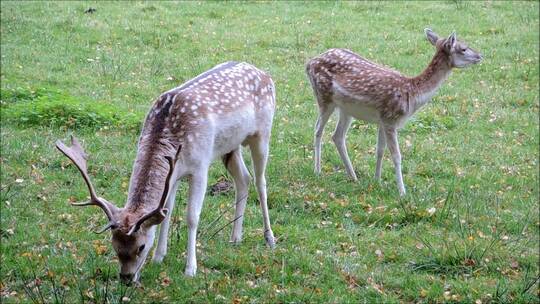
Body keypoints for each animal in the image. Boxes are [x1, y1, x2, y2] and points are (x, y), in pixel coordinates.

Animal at [57, 60, 276, 284]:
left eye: (141, 246)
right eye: (114, 246)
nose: (126, 277)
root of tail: (264, 73)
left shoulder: (200, 166)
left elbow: (192, 217)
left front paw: (190, 269)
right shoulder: (174, 173)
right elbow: (167, 211)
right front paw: (159, 257)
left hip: (262, 133)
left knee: (260, 182)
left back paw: (269, 238)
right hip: (230, 146)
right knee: (244, 179)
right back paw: (235, 238)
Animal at [306, 28, 484, 195]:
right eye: (463, 48)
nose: (480, 55)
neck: (412, 94)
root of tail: (309, 63)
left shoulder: (382, 120)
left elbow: (379, 151)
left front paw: (377, 181)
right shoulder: (391, 119)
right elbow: (396, 156)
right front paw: (402, 192)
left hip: (346, 109)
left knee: (337, 136)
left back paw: (353, 176)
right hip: (323, 96)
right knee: (318, 129)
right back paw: (317, 170)